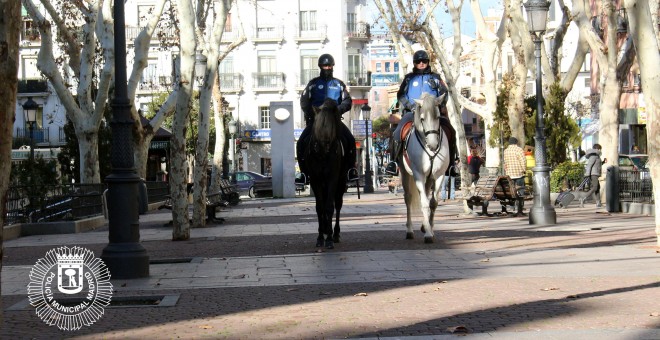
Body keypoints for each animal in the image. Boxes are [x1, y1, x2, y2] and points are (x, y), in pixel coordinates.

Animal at [302, 98, 346, 250]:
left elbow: (329, 207)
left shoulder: (333, 179)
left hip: (340, 182)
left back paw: (335, 233)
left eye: (332, 126)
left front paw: (329, 239)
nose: (324, 148)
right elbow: (320, 208)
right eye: (318, 126)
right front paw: (321, 237)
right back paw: (327, 230)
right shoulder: (315, 180)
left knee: (337, 205)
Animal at [398, 91, 448, 243]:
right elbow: (424, 203)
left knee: (425, 194)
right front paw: (428, 234)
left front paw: (429, 228)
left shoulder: (439, 175)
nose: (433, 145)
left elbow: (433, 203)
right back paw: (409, 230)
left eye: (438, 116)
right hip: (405, 173)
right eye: (422, 118)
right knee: (408, 198)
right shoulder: (418, 175)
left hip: (429, 178)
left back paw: (424, 226)